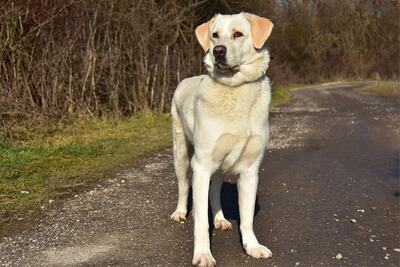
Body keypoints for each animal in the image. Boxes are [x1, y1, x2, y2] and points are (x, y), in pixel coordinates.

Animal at [169, 13, 276, 267]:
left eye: (238, 34)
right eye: (215, 35)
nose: (218, 51)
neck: (234, 89)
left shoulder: (249, 170)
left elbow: (246, 218)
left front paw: (252, 247)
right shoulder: (201, 165)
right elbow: (200, 221)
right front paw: (203, 254)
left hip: (217, 166)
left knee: (215, 190)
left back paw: (220, 219)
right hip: (181, 155)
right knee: (183, 186)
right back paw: (179, 212)